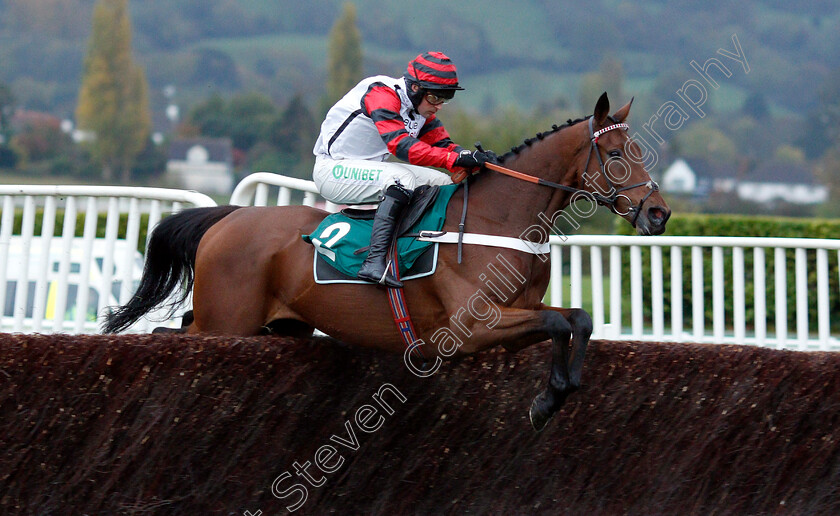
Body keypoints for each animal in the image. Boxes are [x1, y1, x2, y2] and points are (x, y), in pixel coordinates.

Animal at [103, 92, 668, 432]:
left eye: (639, 150)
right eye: (617, 155)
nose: (659, 212)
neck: (499, 217)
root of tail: (230, 217)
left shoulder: (515, 318)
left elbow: (577, 319)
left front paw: (557, 393)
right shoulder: (472, 328)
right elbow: (558, 323)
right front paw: (547, 399)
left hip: (278, 326)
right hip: (228, 322)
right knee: (174, 335)